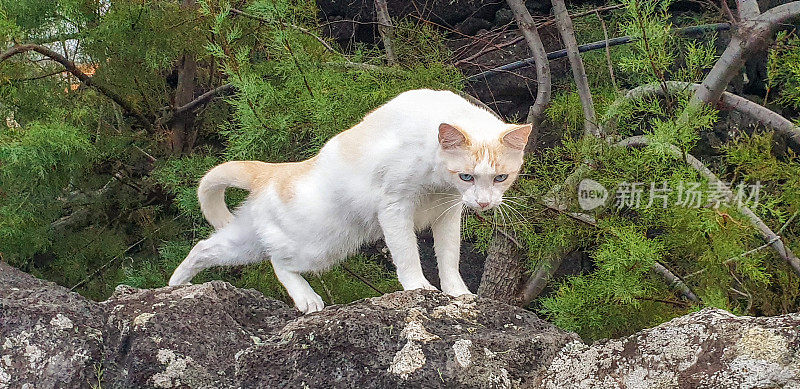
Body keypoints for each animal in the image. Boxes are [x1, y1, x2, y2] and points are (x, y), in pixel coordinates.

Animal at [169, 88, 532, 312]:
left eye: (500, 178)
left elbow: (449, 257)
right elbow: (408, 255)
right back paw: (308, 300)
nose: (484, 204)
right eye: (466, 176)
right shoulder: (394, 208)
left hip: (248, 242)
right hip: (317, 246)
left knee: (206, 247)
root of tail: (273, 171)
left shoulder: (447, 214)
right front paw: (419, 288)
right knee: (279, 262)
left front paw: (458, 294)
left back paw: (175, 285)